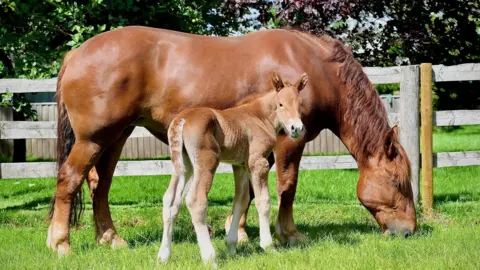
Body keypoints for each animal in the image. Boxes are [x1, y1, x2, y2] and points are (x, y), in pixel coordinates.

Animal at [158, 73, 308, 264]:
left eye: (300, 104)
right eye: (281, 104)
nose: (296, 128)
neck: (260, 117)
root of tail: (182, 120)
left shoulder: (239, 165)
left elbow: (241, 200)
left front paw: (231, 246)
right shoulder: (258, 162)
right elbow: (263, 201)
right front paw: (269, 247)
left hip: (184, 165)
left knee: (170, 200)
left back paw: (163, 256)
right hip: (207, 161)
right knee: (195, 200)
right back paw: (210, 257)